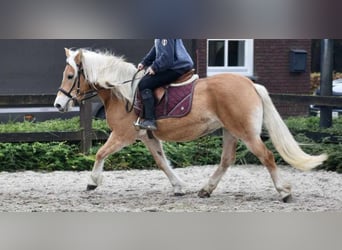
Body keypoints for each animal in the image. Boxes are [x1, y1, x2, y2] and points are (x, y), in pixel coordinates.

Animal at [54, 47, 328, 202]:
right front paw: (178, 187)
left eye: (70, 76)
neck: (122, 92)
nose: (58, 105)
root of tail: (249, 83)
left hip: (246, 133)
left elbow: (100, 153)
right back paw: (206, 190)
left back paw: (284, 192)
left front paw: (92, 182)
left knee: (267, 156)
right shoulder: (147, 136)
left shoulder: (123, 135)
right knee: (226, 160)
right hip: (230, 131)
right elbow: (162, 162)